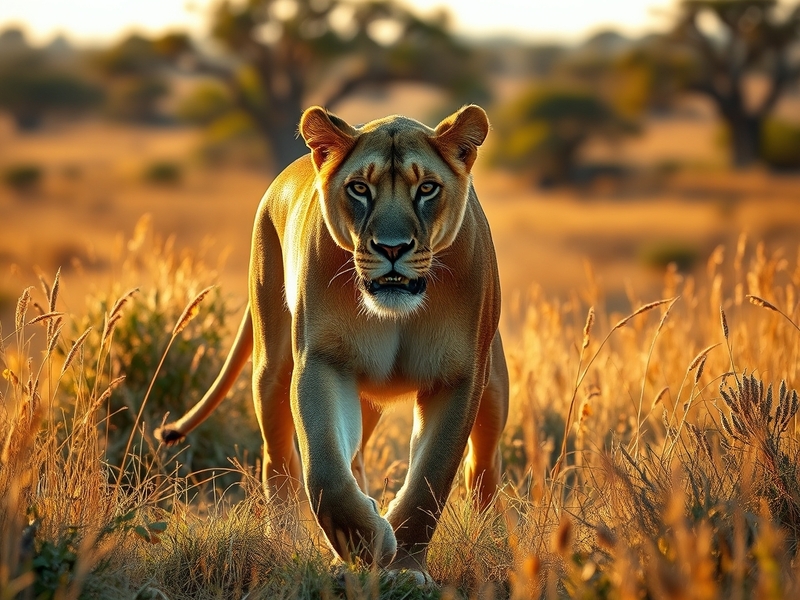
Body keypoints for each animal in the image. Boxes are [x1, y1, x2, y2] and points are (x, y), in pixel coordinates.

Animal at [156, 104, 509, 583]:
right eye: (360, 188)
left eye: (427, 188)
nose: (392, 248)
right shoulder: (322, 361)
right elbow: (325, 469)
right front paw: (363, 543)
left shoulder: (460, 377)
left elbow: (430, 478)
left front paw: (405, 565)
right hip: (273, 366)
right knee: (279, 458)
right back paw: (287, 539)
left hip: (493, 390)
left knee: (482, 465)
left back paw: (487, 530)